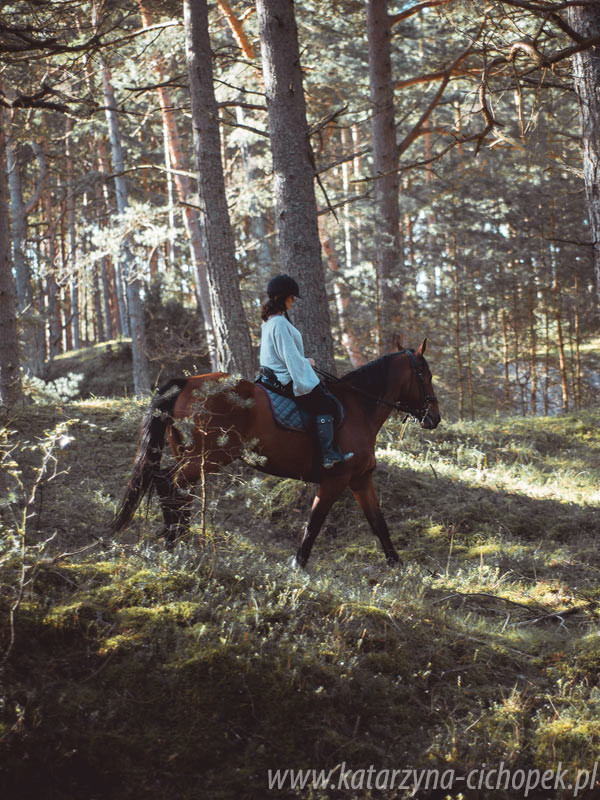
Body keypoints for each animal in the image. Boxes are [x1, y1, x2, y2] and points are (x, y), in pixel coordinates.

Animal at [111, 340, 440, 564]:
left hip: (189, 456)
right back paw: (173, 540)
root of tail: (187, 382)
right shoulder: (335, 480)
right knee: (169, 484)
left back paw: (181, 538)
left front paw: (397, 565)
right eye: (425, 375)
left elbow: (378, 523)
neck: (360, 407)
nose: (434, 418)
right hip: (207, 458)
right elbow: (313, 524)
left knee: (177, 490)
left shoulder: (360, 480)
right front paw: (298, 566)